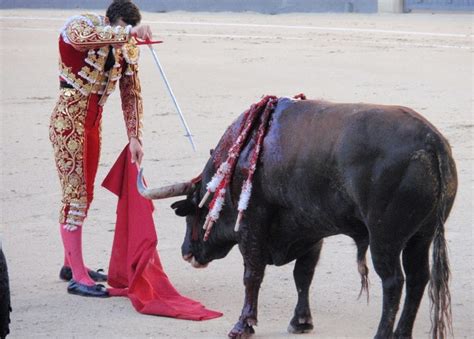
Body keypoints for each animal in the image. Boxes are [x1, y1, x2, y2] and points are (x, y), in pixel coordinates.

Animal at [139, 98, 458, 339]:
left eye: (194, 211)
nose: (186, 252)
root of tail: (432, 143)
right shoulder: (310, 229)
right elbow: (303, 274)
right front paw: (301, 322)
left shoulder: (253, 223)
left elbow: (252, 274)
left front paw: (243, 325)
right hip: (421, 236)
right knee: (418, 278)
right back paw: (402, 333)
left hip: (385, 239)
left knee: (393, 281)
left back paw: (383, 335)